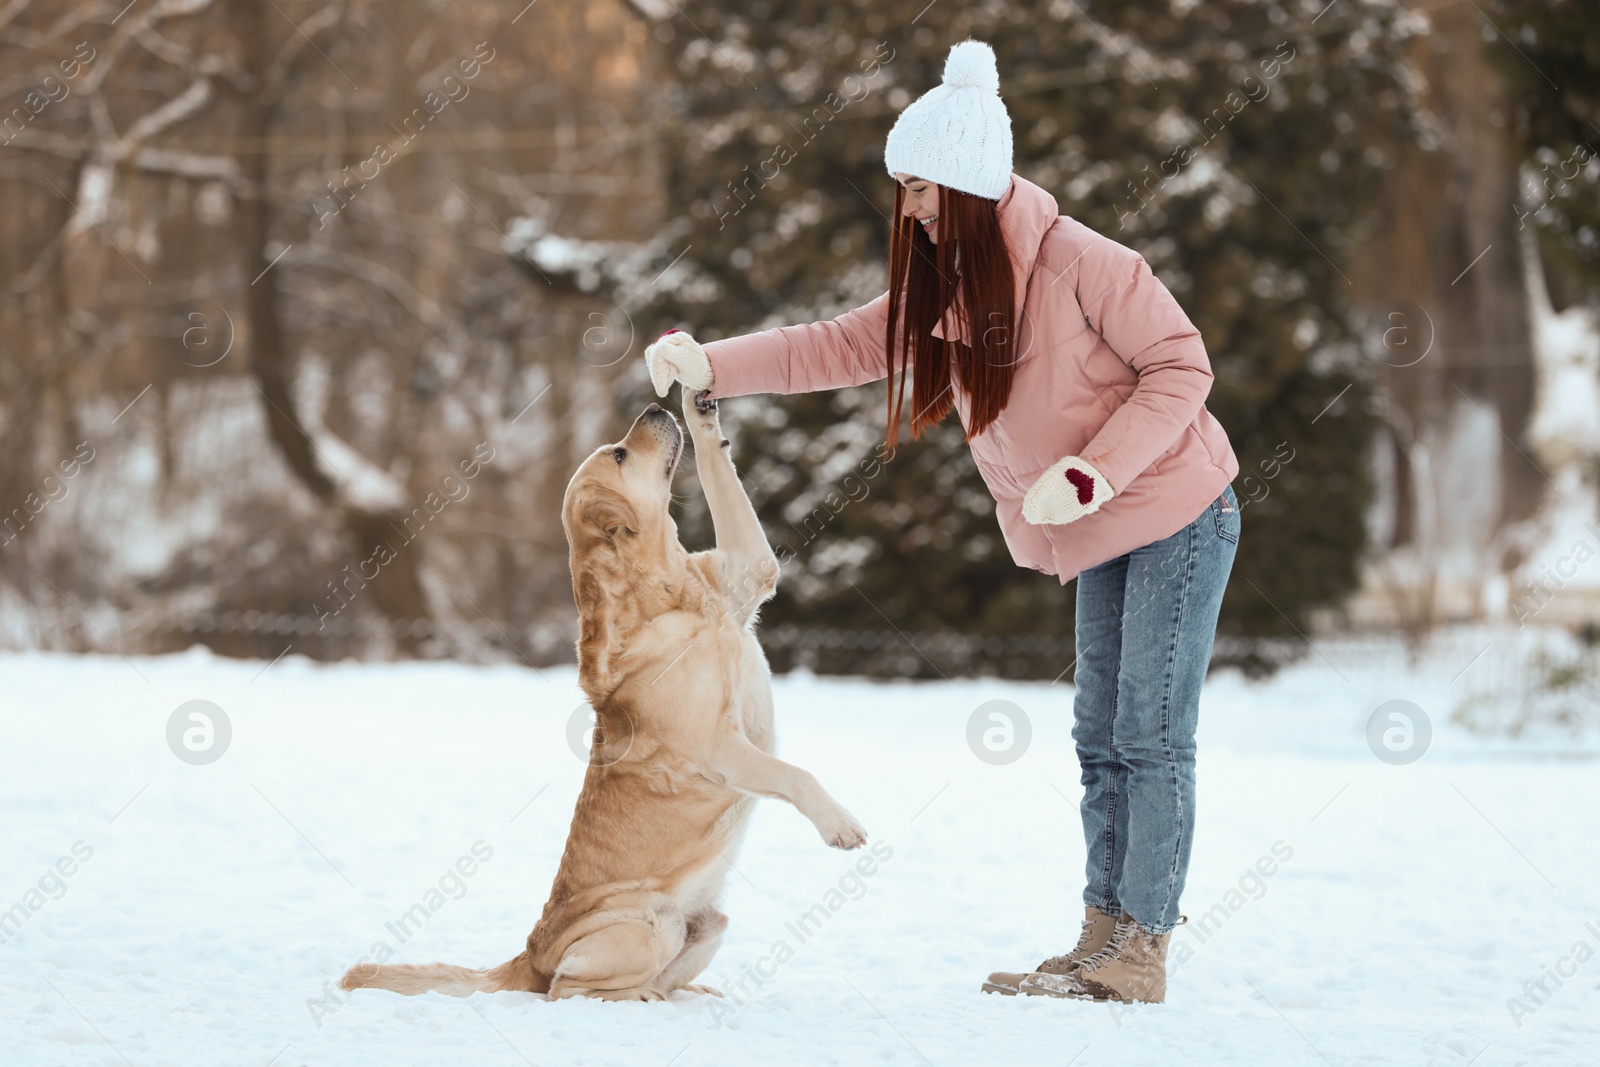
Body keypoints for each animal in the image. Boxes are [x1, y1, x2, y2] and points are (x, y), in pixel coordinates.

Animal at [337, 390, 864, 1004]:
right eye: (618, 454)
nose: (655, 409)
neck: (671, 592)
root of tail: (528, 956)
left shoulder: (747, 569)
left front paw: (703, 413)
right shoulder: (717, 746)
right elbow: (795, 774)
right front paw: (840, 824)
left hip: (708, 923)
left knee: (656, 978)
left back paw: (689, 995)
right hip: (649, 924)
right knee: (567, 991)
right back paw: (640, 1000)